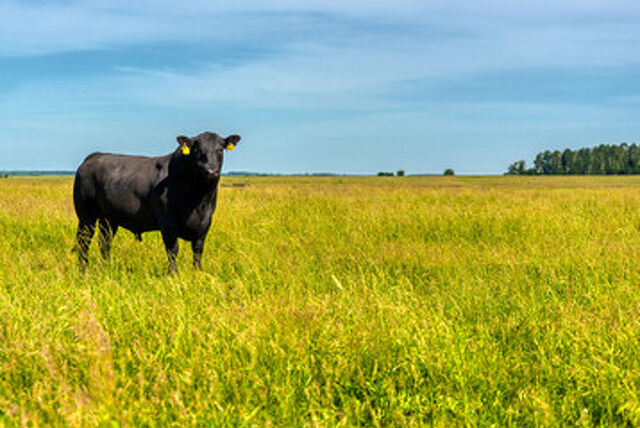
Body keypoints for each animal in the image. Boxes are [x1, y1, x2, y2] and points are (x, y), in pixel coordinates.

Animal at [73, 131, 241, 272]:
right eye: (197, 150)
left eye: (220, 150)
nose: (211, 171)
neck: (198, 202)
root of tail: (93, 157)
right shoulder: (167, 221)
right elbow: (173, 250)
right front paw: (173, 274)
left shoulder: (205, 223)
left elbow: (198, 250)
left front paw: (198, 273)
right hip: (86, 216)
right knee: (84, 242)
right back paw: (83, 270)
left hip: (108, 219)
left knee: (104, 242)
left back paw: (107, 267)